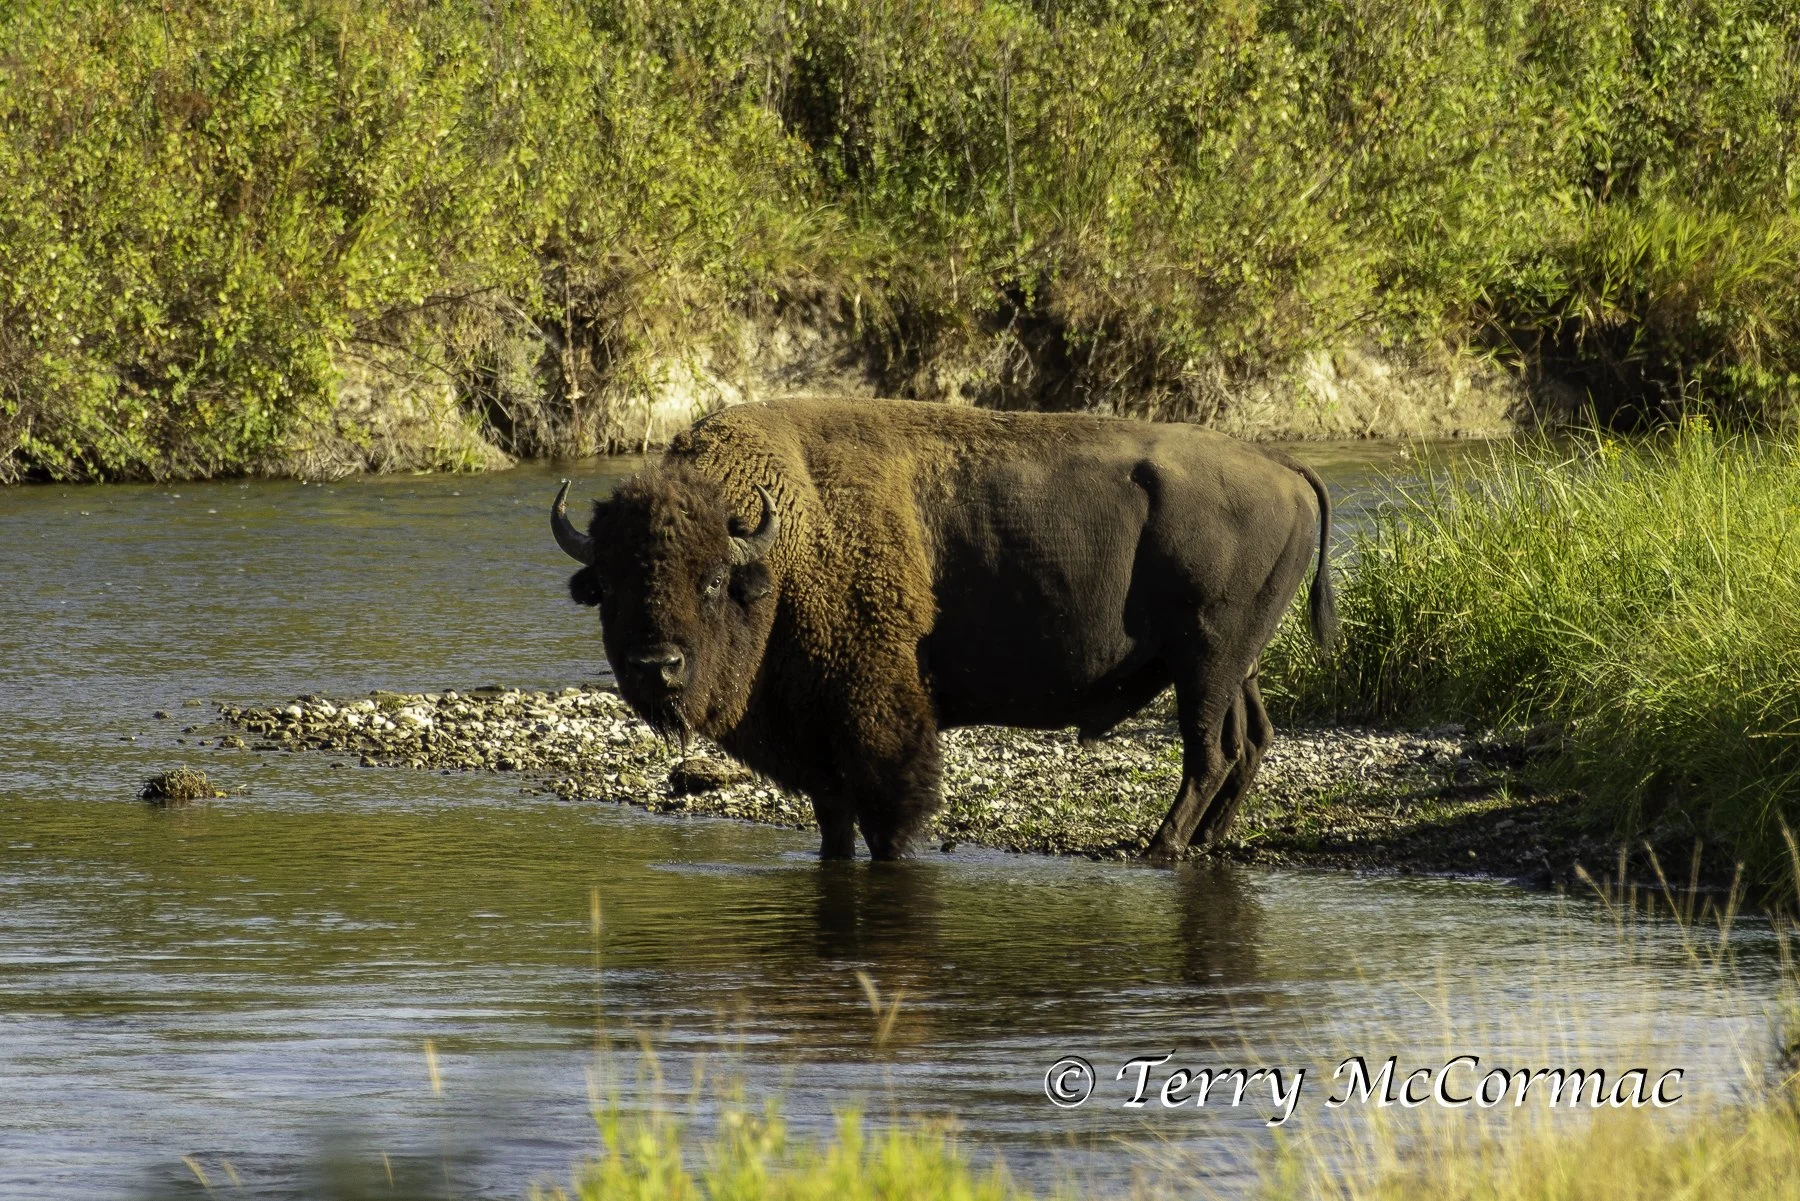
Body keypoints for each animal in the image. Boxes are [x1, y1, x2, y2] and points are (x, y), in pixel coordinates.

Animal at [553, 397, 1335, 861]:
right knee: (1249, 742)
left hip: (1206, 660)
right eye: (609, 588)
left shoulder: (878, 714)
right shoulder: (814, 736)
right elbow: (833, 815)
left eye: (714, 581)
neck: (785, 544)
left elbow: (890, 809)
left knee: (1209, 752)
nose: (658, 664)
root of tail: (1282, 463)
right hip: (1233, 663)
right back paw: (1204, 841)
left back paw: (1160, 848)